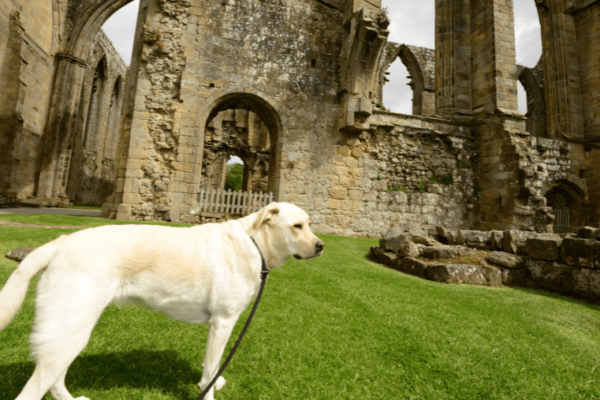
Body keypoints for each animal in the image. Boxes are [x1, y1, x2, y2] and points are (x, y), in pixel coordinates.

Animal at [0, 203, 324, 400]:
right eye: (297, 226)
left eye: (310, 224)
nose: (321, 246)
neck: (255, 243)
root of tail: (62, 241)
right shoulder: (223, 322)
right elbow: (212, 365)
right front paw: (208, 389)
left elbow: (212, 366)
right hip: (71, 329)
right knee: (36, 388)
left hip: (69, 332)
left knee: (55, 379)